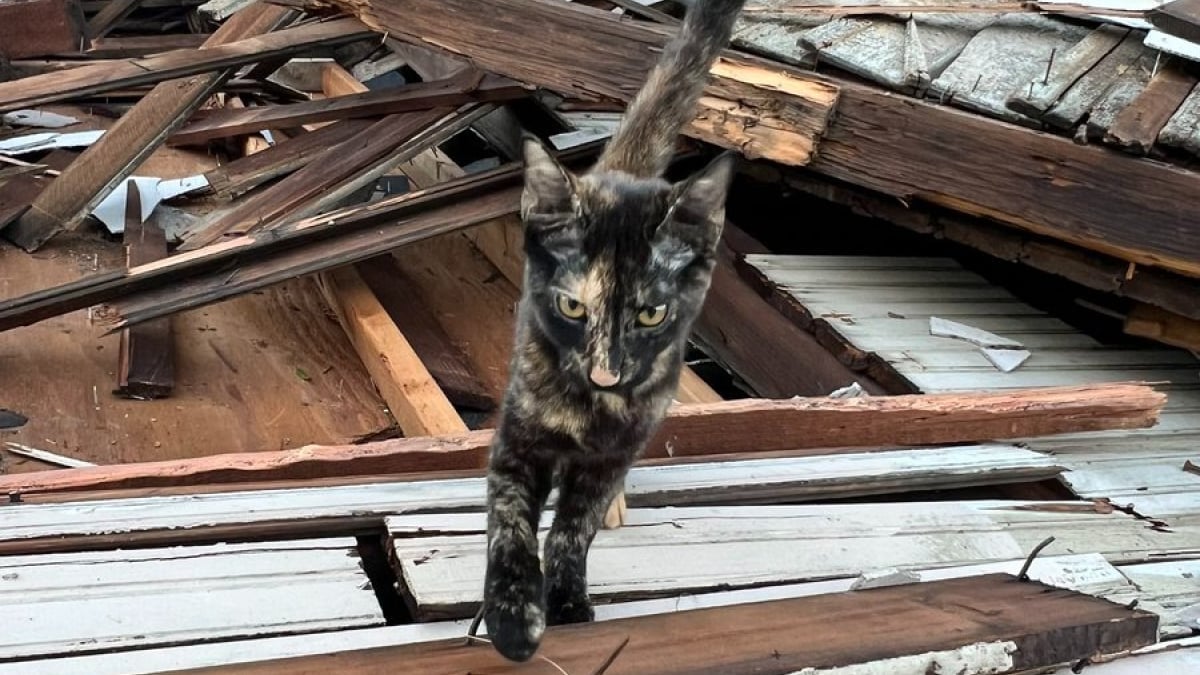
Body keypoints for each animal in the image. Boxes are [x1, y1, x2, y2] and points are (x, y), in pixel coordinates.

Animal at [475, 0, 739, 662]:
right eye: (572, 307)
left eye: (650, 314)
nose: (605, 371)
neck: (588, 409)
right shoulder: (518, 440)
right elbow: (510, 522)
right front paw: (514, 616)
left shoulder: (615, 451)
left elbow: (574, 529)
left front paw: (568, 601)